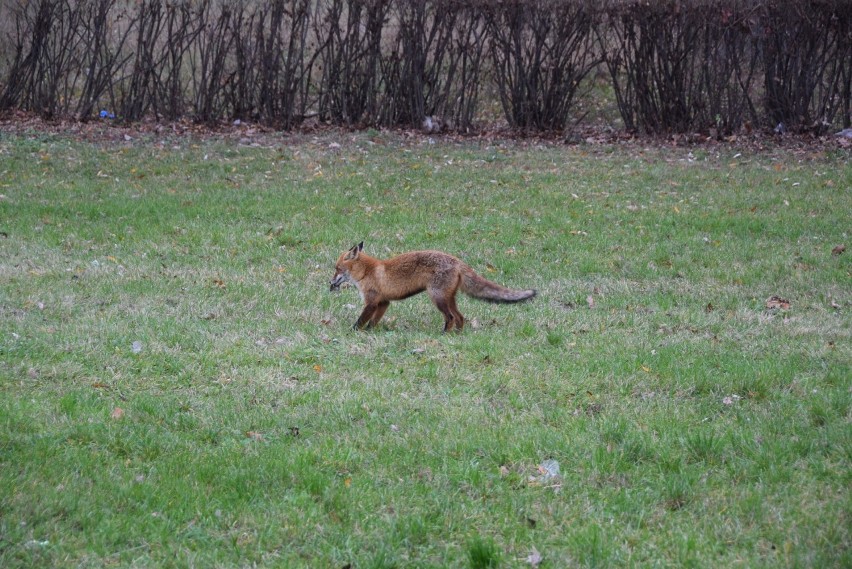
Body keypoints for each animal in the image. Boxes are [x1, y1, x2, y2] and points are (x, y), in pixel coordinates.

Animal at [330, 241, 536, 330]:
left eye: (337, 268)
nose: (330, 283)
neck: (366, 272)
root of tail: (457, 260)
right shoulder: (383, 303)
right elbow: (373, 322)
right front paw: (371, 331)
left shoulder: (372, 302)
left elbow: (361, 321)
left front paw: (353, 332)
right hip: (448, 298)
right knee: (460, 317)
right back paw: (457, 335)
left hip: (437, 298)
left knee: (451, 317)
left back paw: (444, 334)